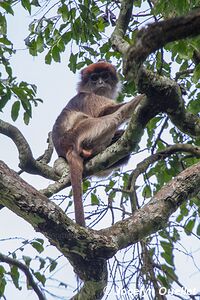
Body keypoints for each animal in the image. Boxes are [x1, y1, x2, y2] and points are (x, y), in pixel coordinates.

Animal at [51, 61, 142, 226]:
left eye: (104, 76)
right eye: (94, 78)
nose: (100, 82)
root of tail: (68, 147)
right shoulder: (89, 98)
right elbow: (105, 112)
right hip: (82, 131)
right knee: (115, 116)